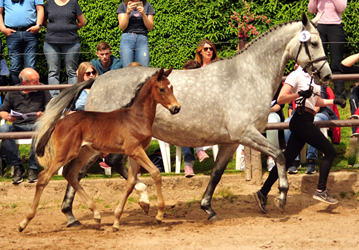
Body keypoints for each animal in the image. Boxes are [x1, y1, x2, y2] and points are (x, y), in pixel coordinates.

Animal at [18, 68, 181, 232]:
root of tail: (59, 122)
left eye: (172, 87)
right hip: (65, 153)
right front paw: (159, 215)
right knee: (44, 177)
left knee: (69, 173)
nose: (176, 108)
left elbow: (130, 183)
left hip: (85, 152)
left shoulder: (134, 153)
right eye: (162, 89)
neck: (137, 117)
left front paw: (116, 221)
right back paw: (24, 222)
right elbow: (155, 173)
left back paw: (95, 214)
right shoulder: (135, 150)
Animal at [34, 13, 332, 229]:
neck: (247, 75)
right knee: (84, 169)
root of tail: (96, 81)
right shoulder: (246, 134)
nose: (327, 75)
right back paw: (130, 202)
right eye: (313, 43)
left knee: (80, 170)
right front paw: (281, 196)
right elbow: (280, 154)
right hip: (102, 144)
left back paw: (75, 215)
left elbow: (216, 174)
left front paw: (209, 209)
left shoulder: (229, 142)